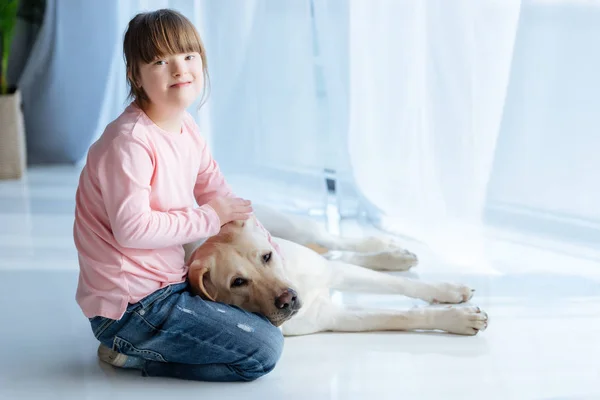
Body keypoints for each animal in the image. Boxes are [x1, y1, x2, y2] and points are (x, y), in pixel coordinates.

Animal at [183, 203, 488, 338]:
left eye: (266, 257)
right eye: (237, 282)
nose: (288, 300)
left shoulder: (334, 273)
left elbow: (402, 286)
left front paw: (447, 290)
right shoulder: (333, 317)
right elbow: (398, 316)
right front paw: (457, 318)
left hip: (297, 228)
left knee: (333, 243)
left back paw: (386, 249)